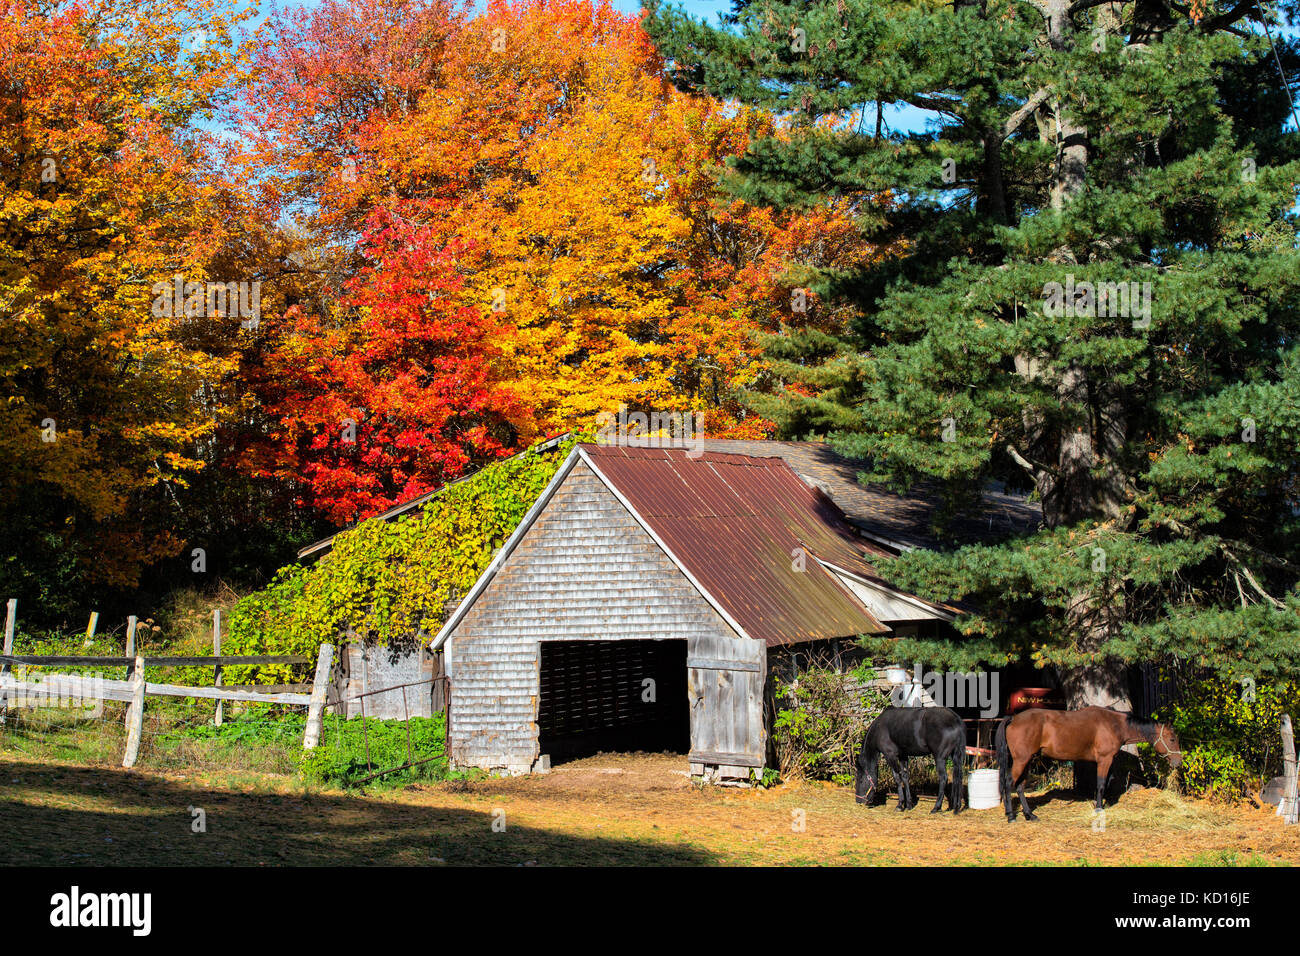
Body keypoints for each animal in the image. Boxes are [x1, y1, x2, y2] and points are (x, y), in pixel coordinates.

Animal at [998, 702, 1185, 822]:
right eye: (1172, 739)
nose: (1178, 762)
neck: (1113, 724)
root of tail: (1014, 718)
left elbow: (1106, 782)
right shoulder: (1104, 760)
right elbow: (1101, 784)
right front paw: (1099, 808)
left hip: (1028, 760)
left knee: (1020, 786)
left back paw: (1029, 815)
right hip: (1021, 760)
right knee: (1009, 783)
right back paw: (1011, 815)